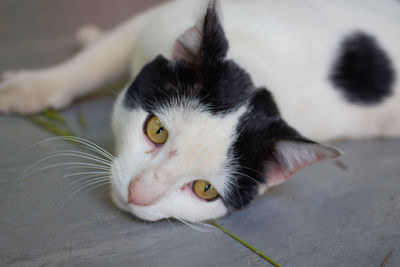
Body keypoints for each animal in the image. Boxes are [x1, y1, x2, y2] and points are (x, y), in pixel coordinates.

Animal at [0, 0, 400, 222]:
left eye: (205, 190)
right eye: (156, 130)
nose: (138, 194)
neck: (263, 59)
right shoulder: (161, 17)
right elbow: (97, 59)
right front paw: (28, 88)